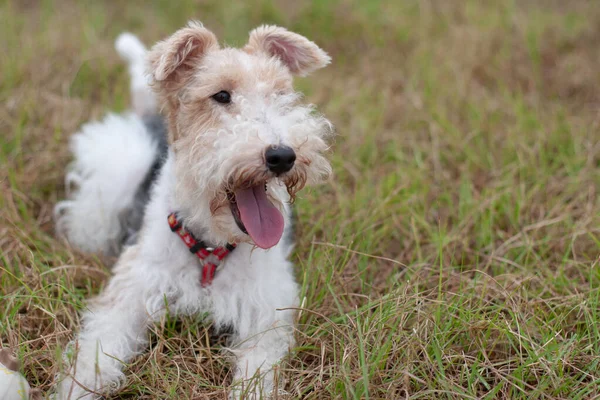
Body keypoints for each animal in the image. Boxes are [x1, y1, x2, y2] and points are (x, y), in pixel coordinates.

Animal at [51, 22, 332, 400]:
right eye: (222, 95)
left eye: (280, 94)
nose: (283, 155)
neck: (211, 246)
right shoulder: (130, 295)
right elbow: (94, 354)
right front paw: (75, 388)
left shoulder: (265, 313)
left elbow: (257, 373)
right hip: (119, 167)